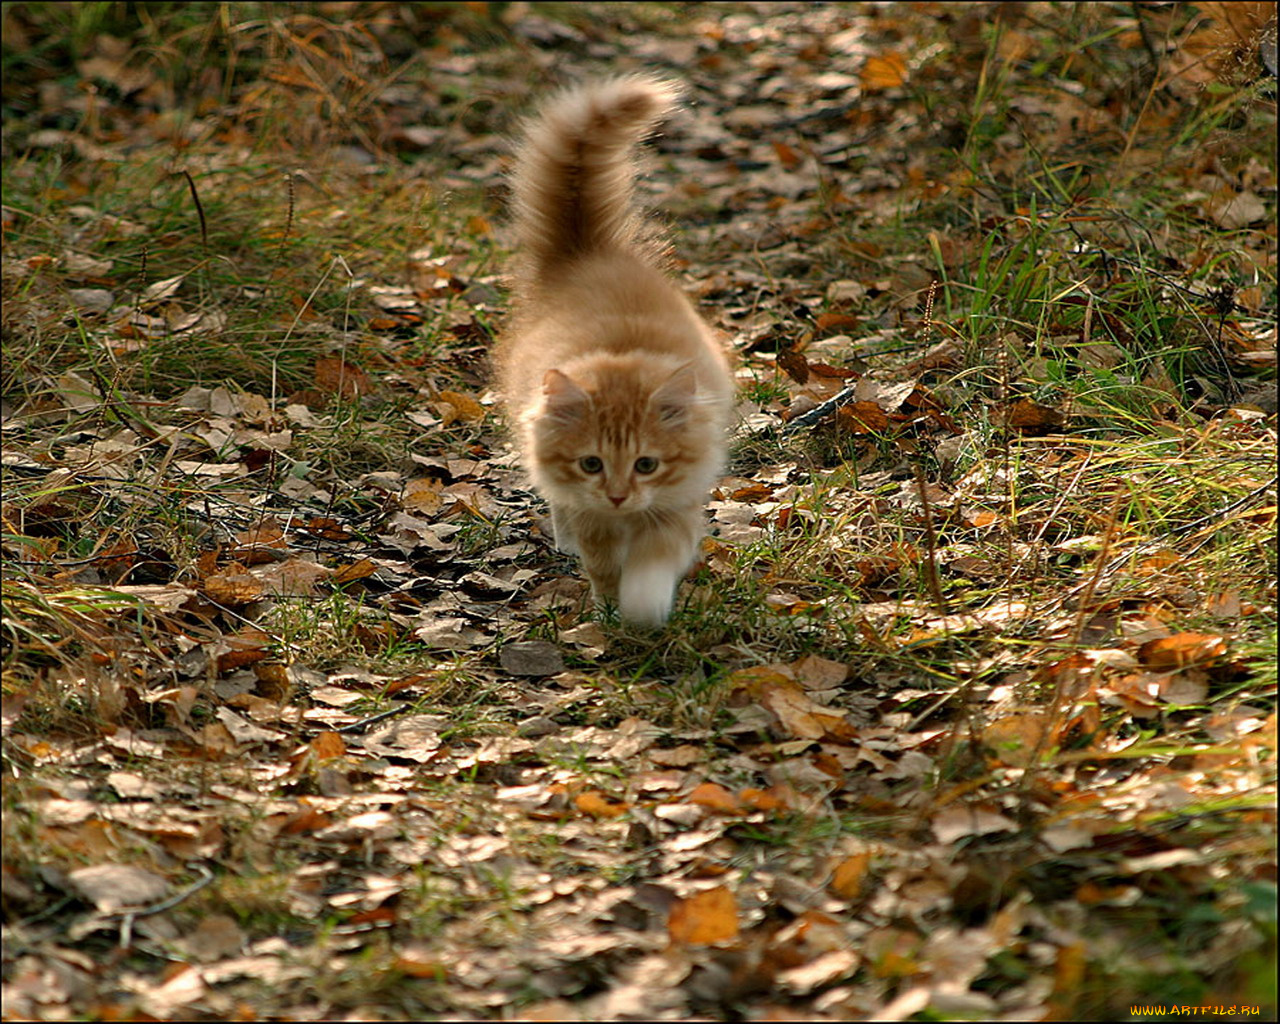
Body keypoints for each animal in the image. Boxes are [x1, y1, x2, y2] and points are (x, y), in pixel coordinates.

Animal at [496, 78, 737, 624]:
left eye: (646, 464)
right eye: (592, 464)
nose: (618, 496)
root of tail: (587, 254)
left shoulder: (675, 507)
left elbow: (654, 561)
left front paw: (642, 607)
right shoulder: (594, 519)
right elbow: (603, 568)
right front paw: (610, 612)